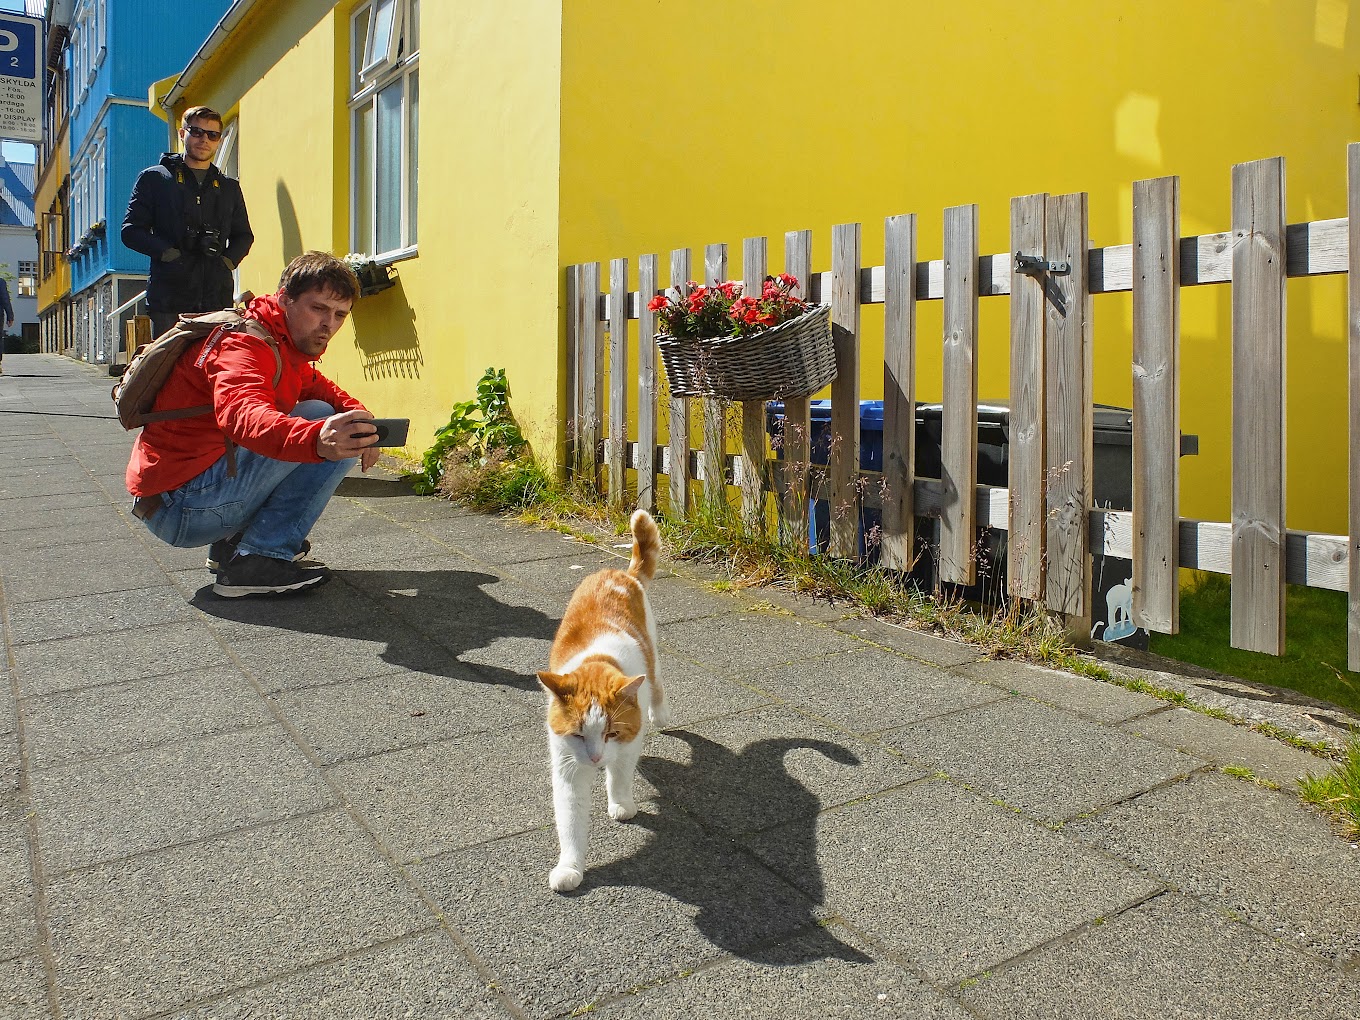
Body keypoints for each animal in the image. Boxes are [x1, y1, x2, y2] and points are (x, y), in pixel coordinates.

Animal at [535, 511, 674, 892]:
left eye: (611, 733)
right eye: (578, 735)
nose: (596, 758)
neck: (597, 661)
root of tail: (618, 573)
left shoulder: (627, 744)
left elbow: (620, 777)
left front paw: (621, 804)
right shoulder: (567, 767)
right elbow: (570, 822)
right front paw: (569, 868)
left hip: (652, 654)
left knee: (657, 686)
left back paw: (660, 715)